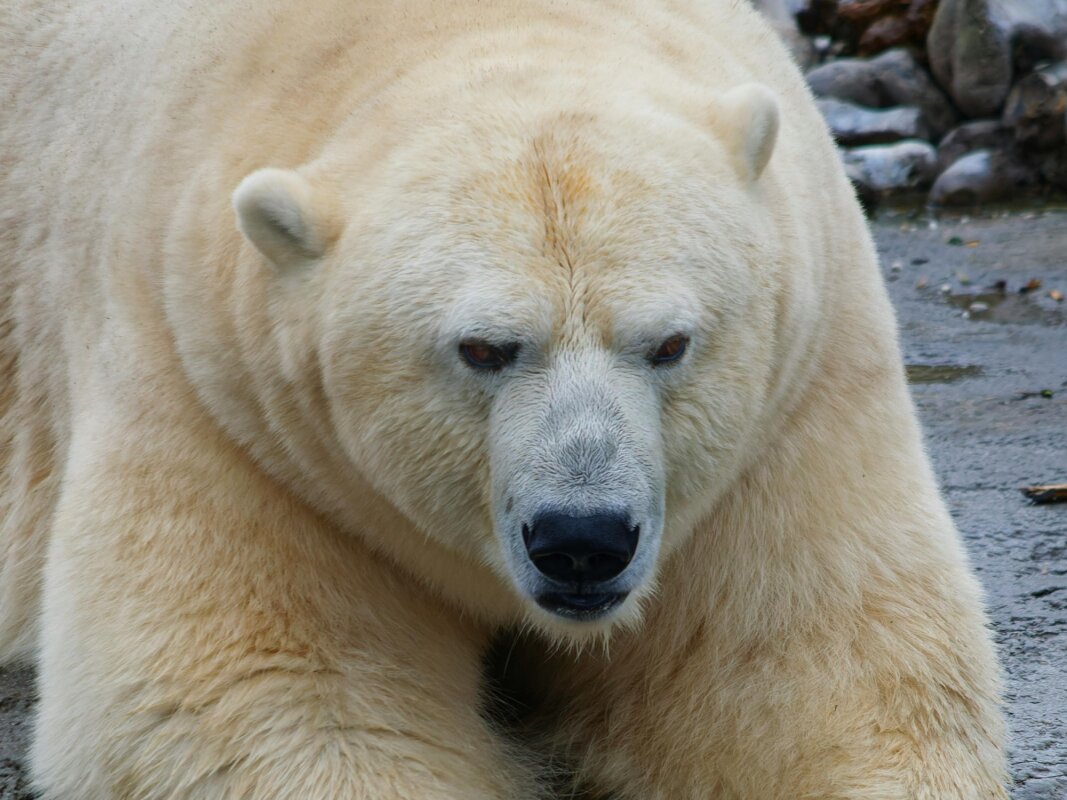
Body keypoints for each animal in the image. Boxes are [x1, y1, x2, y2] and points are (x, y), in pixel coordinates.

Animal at [0, 0, 1006, 797]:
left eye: (669, 343)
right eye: (483, 348)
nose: (582, 539)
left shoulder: (798, 386)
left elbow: (811, 669)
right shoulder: (218, 390)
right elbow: (257, 698)